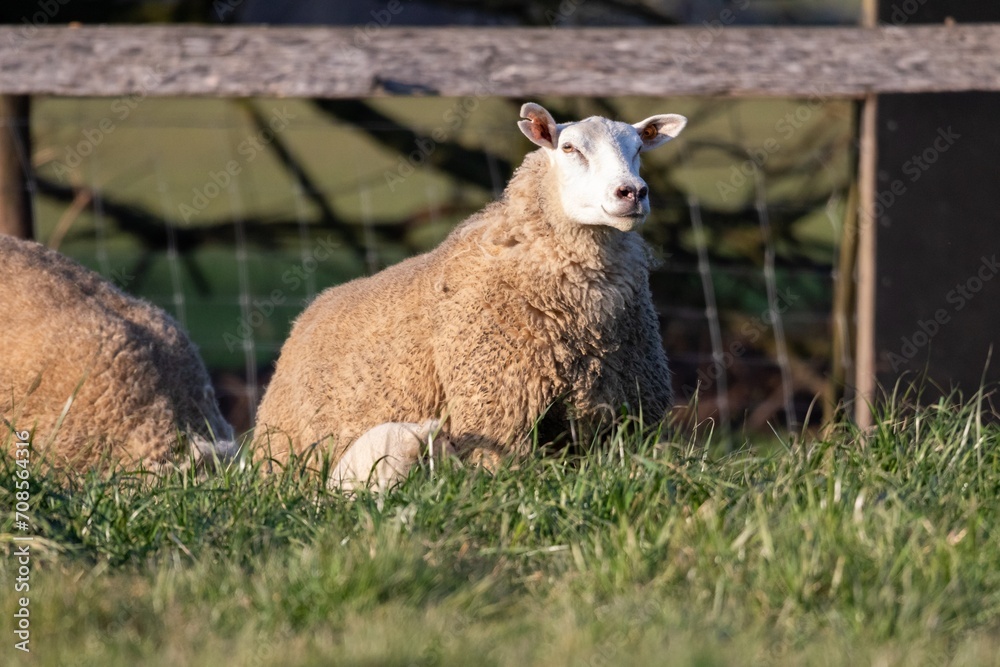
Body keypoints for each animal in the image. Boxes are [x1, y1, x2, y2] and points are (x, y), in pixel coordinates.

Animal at [254, 102, 686, 479]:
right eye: (569, 148)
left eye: (638, 148)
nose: (632, 192)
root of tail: (306, 315)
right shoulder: (497, 411)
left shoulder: (628, 417)